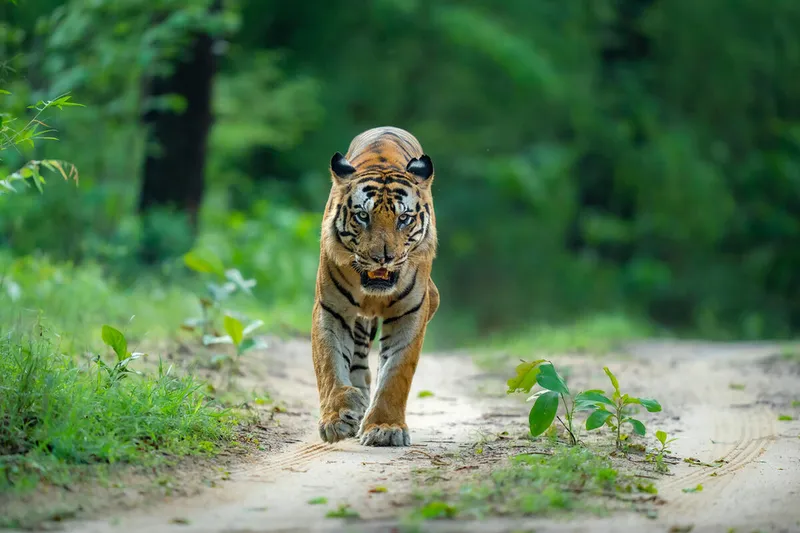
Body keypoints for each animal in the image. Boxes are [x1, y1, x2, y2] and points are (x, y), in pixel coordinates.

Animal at [311, 126, 440, 447]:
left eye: (403, 218)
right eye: (362, 216)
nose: (383, 258)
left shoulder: (411, 312)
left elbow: (396, 373)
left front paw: (384, 427)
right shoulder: (331, 309)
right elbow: (329, 365)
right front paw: (337, 417)